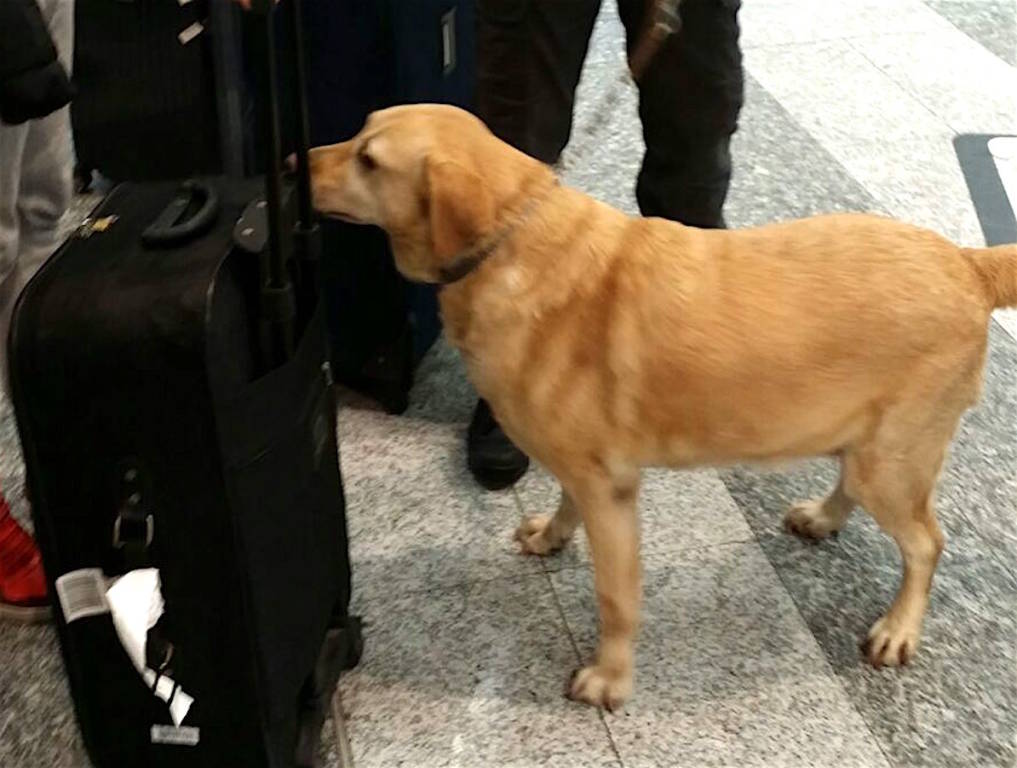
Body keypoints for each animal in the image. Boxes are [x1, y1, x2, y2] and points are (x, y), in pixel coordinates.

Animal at [309, 105, 1016, 712]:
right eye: (359, 131)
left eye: (368, 160)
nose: (297, 162)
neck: (512, 238)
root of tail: (966, 261)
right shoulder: (584, 473)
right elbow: (564, 505)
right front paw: (551, 536)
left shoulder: (610, 490)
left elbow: (617, 598)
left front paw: (610, 679)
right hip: (867, 443)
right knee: (855, 487)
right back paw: (822, 517)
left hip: (893, 462)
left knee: (926, 543)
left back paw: (898, 627)